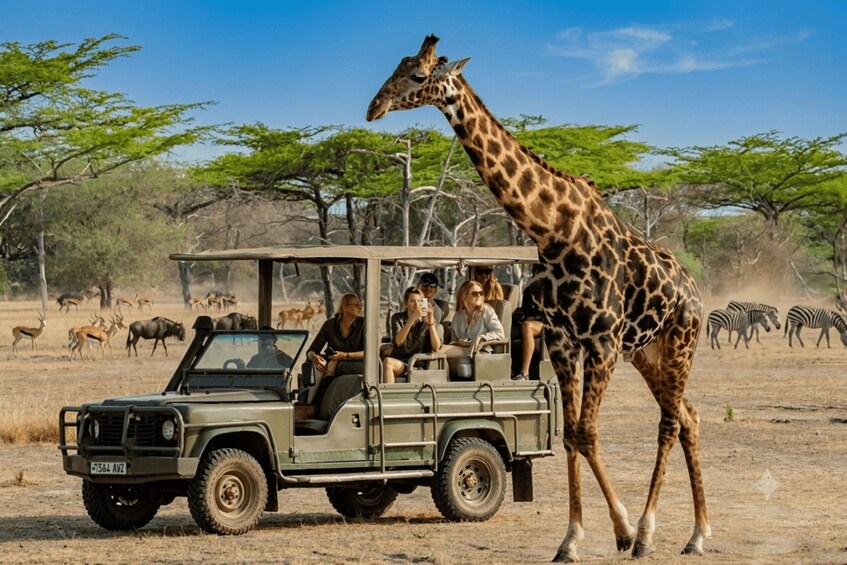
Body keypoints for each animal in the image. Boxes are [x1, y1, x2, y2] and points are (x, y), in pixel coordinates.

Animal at [367, 36, 710, 561]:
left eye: (419, 76)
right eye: (398, 67)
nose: (374, 107)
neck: (552, 230)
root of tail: (694, 291)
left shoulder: (601, 341)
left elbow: (587, 432)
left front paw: (622, 530)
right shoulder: (565, 339)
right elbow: (571, 437)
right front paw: (570, 540)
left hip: (679, 343)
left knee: (670, 423)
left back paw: (650, 532)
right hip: (646, 352)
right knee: (688, 417)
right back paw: (696, 534)